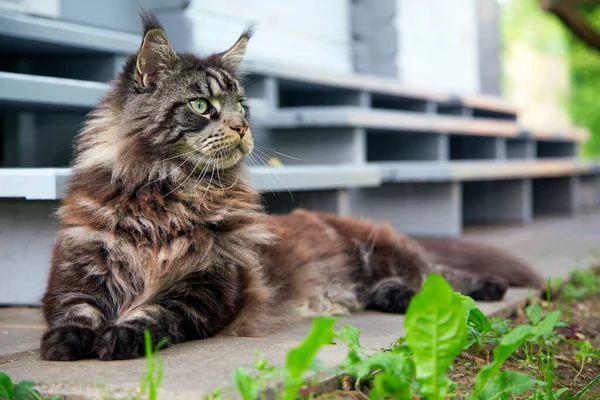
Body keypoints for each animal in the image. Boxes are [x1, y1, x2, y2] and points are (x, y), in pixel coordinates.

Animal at [39, 14, 548, 360]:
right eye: (202, 105)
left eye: (242, 105)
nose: (242, 127)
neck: (167, 195)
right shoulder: (79, 271)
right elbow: (77, 310)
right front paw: (66, 341)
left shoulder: (208, 285)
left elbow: (153, 314)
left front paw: (117, 336)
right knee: (410, 285)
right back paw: (393, 297)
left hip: (392, 254)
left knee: (441, 278)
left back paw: (488, 286)